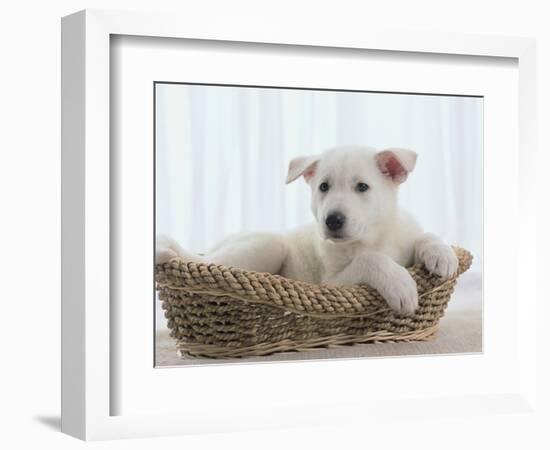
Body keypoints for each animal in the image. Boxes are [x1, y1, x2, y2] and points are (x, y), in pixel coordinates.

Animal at [158, 146, 462, 314]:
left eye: (362, 187)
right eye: (323, 186)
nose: (333, 220)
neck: (373, 238)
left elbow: (424, 236)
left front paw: (442, 255)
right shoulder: (332, 284)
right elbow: (370, 260)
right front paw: (400, 285)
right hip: (267, 245)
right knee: (206, 262)